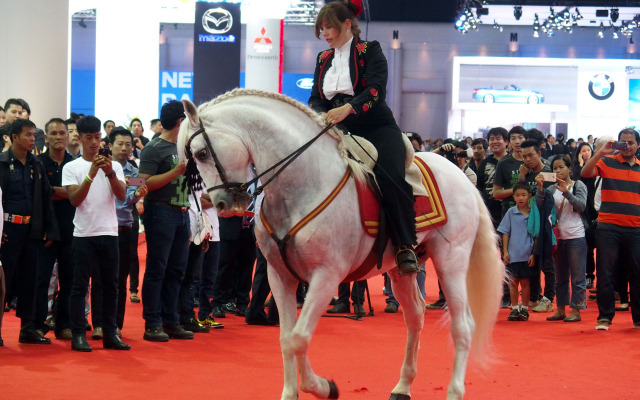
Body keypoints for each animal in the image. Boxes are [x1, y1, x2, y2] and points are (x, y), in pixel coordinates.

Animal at [176, 90, 504, 400]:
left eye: (202, 153)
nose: (220, 204)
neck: (304, 184)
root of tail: (462, 177)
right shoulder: (279, 276)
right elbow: (286, 339)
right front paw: (292, 392)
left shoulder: (326, 275)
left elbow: (299, 338)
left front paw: (323, 387)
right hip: (401, 270)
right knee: (415, 317)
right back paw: (402, 386)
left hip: (452, 261)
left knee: (463, 326)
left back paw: (454, 391)